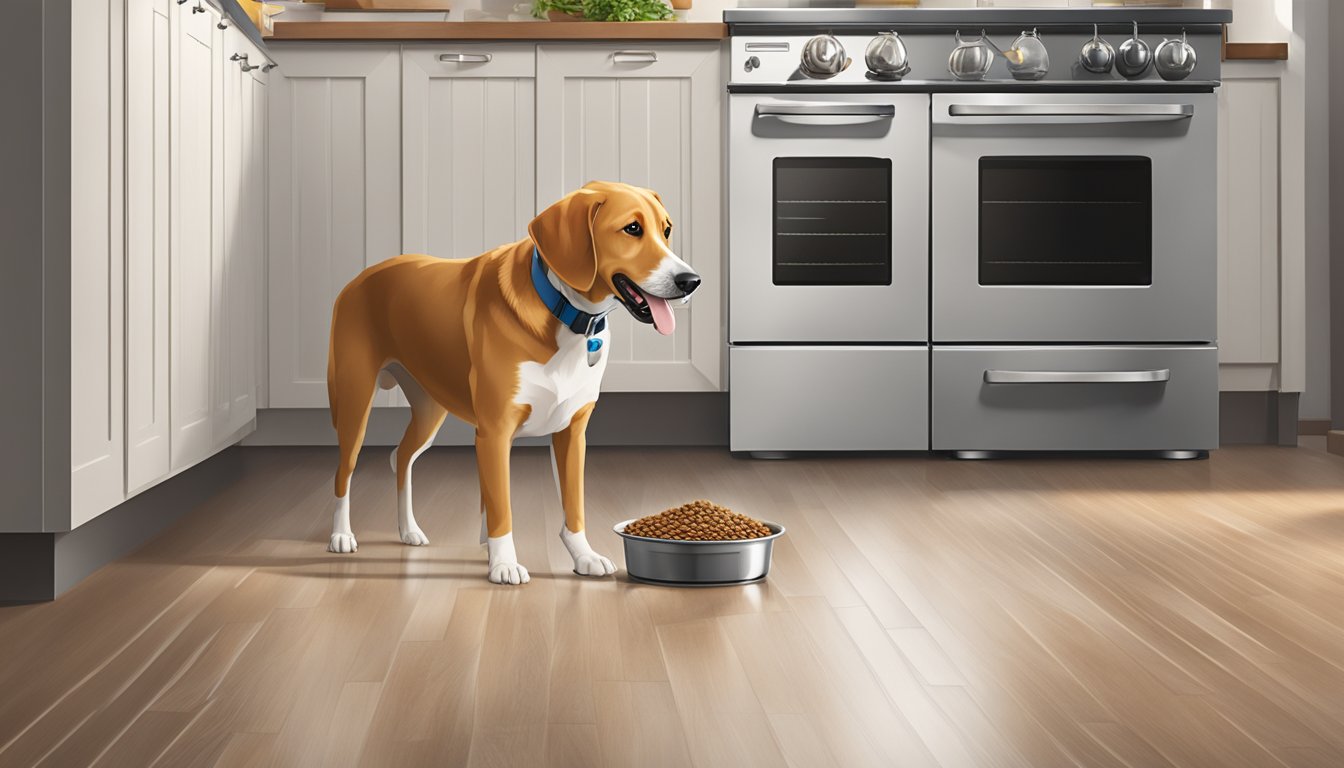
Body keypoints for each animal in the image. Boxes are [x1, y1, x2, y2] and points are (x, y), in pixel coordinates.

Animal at [326, 181, 704, 583]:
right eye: (632, 229)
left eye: (666, 230)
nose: (691, 281)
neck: (564, 312)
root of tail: (360, 277)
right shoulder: (494, 432)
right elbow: (501, 508)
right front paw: (504, 563)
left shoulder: (572, 433)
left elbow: (574, 505)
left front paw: (583, 555)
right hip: (354, 402)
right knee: (345, 471)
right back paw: (341, 536)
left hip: (430, 411)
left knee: (401, 457)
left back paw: (409, 530)